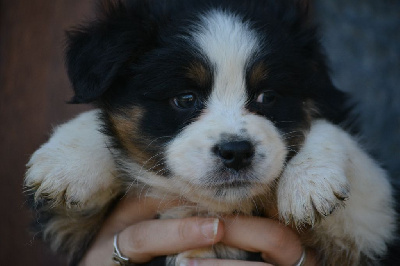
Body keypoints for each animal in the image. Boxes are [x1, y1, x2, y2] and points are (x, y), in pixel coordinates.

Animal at [25, 0, 396, 264]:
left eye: (267, 96)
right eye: (185, 99)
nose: (237, 152)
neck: (213, 210)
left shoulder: (370, 232)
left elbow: (334, 134)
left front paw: (310, 182)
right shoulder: (70, 224)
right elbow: (98, 120)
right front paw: (68, 166)